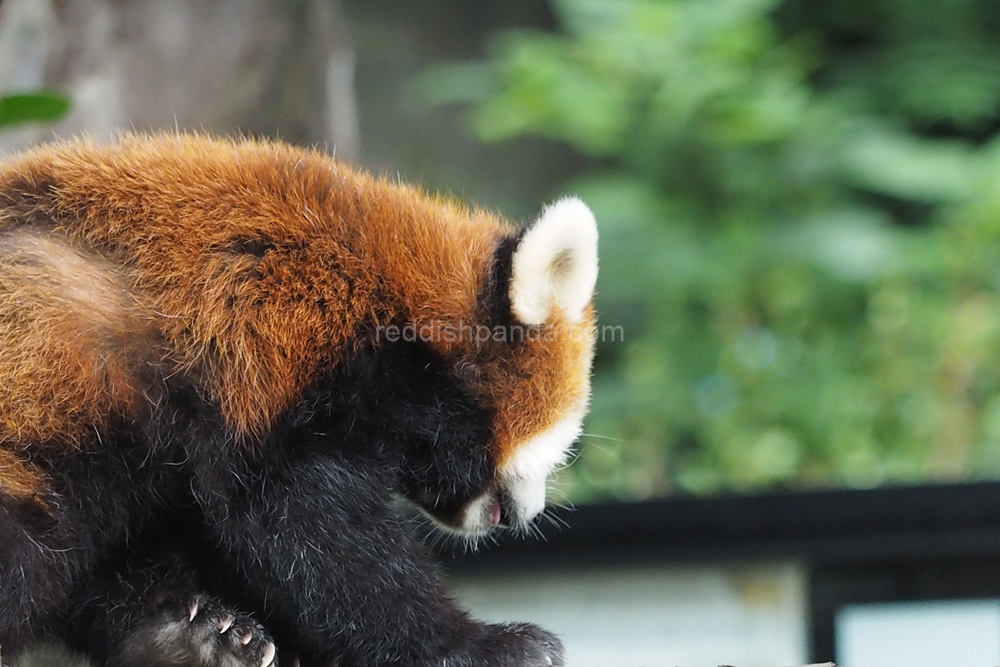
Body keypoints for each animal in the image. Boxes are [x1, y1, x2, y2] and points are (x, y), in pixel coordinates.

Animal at [0, 134, 592, 667]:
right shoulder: (277, 344)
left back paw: (191, 637)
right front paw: (478, 645)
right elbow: (304, 526)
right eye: (553, 450)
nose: (528, 515)